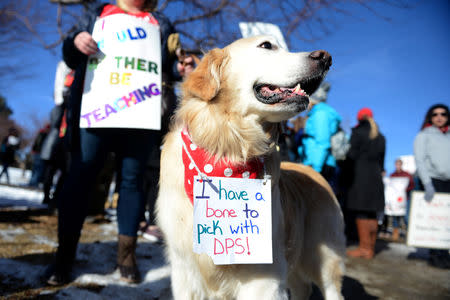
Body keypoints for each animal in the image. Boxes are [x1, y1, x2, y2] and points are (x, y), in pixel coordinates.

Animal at [156, 35, 346, 300]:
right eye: (266, 45)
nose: (326, 57)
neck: (229, 147)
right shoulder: (184, 273)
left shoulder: (264, 276)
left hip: (323, 256)